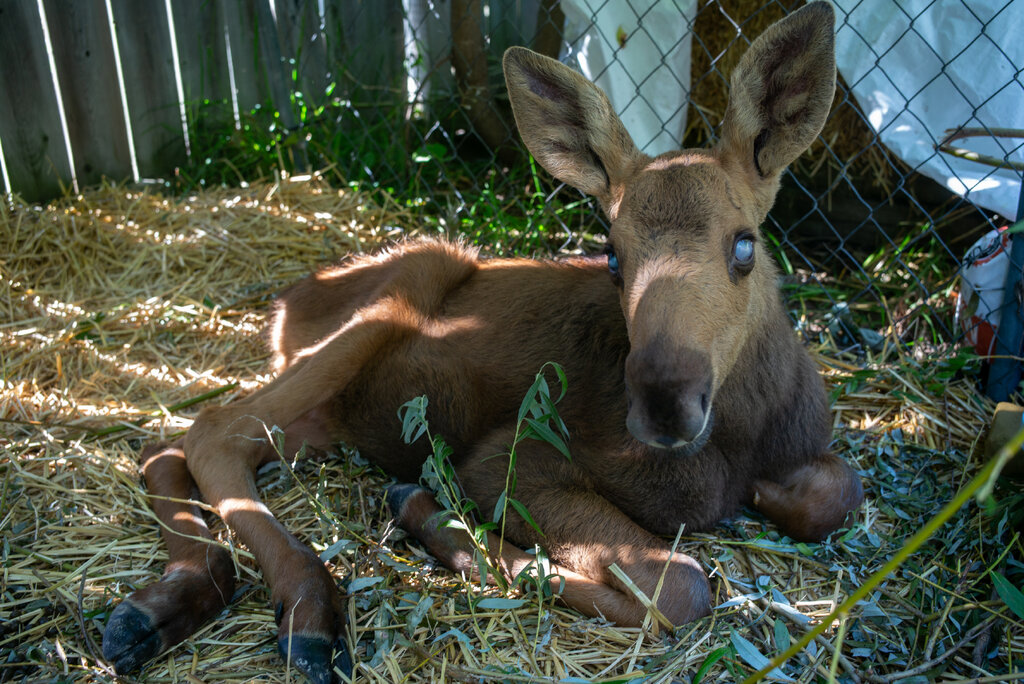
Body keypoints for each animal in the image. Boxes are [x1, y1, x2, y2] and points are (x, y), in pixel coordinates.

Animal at [101, 3, 862, 682]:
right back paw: (308, 609)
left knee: (169, 445)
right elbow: (680, 584)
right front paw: (437, 520)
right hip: (407, 283)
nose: (665, 403)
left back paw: (163, 604)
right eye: (612, 255)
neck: (739, 436)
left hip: (323, 419)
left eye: (745, 244)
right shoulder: (510, 456)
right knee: (210, 429)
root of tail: (283, 305)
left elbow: (840, 490)